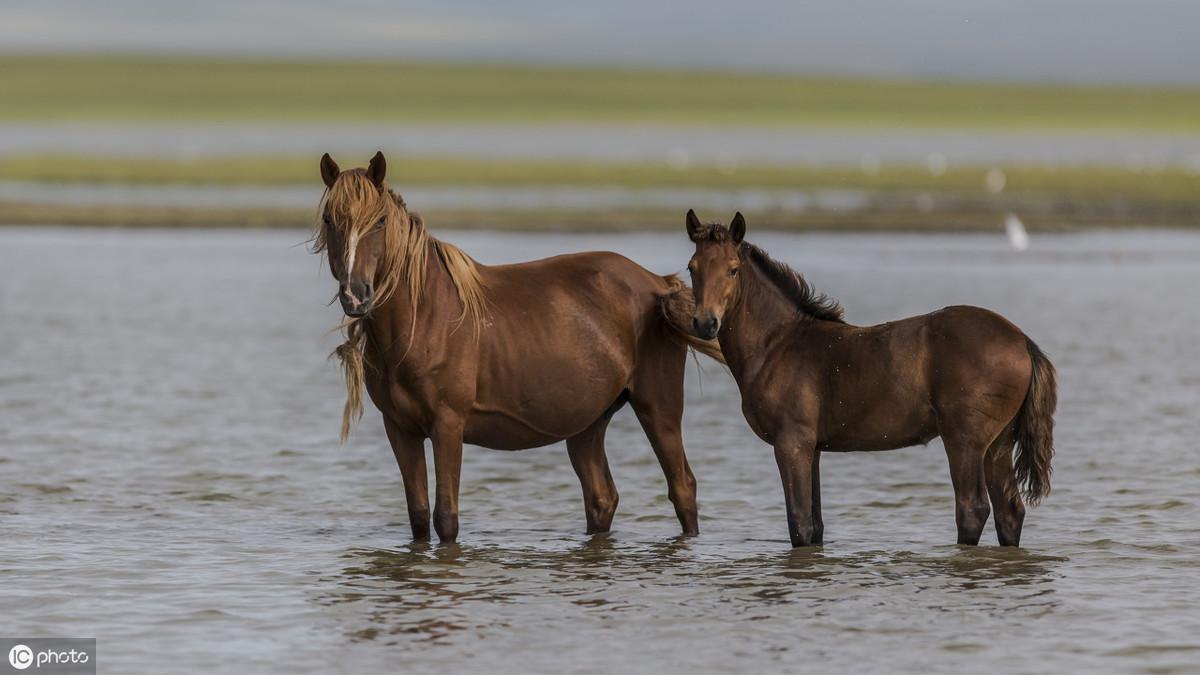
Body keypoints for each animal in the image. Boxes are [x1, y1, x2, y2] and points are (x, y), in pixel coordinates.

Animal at [312, 152, 720, 540]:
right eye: (330, 220)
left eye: (380, 221)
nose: (355, 295)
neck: (422, 320)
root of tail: (657, 284)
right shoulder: (400, 429)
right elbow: (418, 517)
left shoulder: (448, 426)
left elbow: (446, 517)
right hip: (588, 424)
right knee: (602, 498)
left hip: (658, 407)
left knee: (682, 487)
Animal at [686, 210, 1060, 547]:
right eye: (692, 268)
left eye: (733, 269)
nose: (705, 323)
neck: (777, 343)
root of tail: (1022, 341)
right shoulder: (812, 448)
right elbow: (815, 526)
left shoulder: (791, 443)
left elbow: (800, 524)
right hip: (998, 444)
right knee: (1009, 512)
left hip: (964, 440)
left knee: (972, 509)